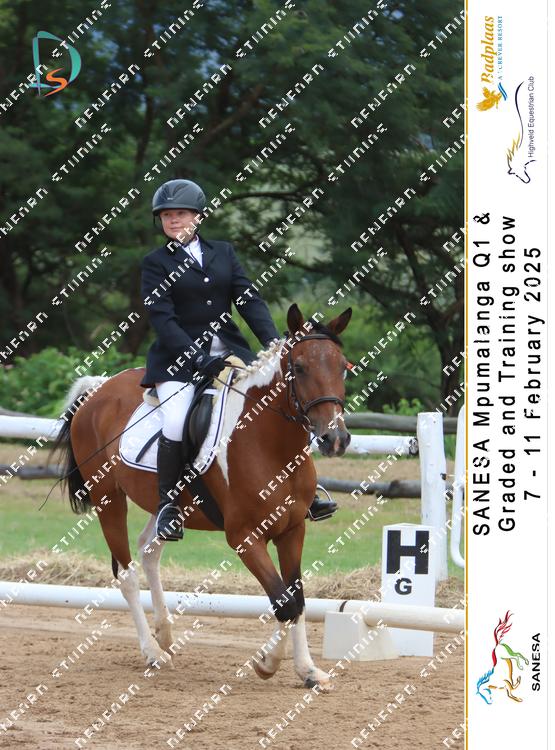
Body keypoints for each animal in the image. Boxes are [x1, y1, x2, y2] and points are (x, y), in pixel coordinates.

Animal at [50, 303, 352, 689]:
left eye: (342, 367)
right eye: (299, 368)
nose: (335, 439)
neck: (269, 442)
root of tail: (99, 388)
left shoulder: (292, 530)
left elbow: (295, 598)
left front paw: (308, 671)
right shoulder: (244, 537)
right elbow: (281, 600)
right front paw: (267, 664)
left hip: (166, 505)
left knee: (149, 549)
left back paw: (165, 633)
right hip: (108, 499)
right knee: (127, 574)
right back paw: (153, 652)